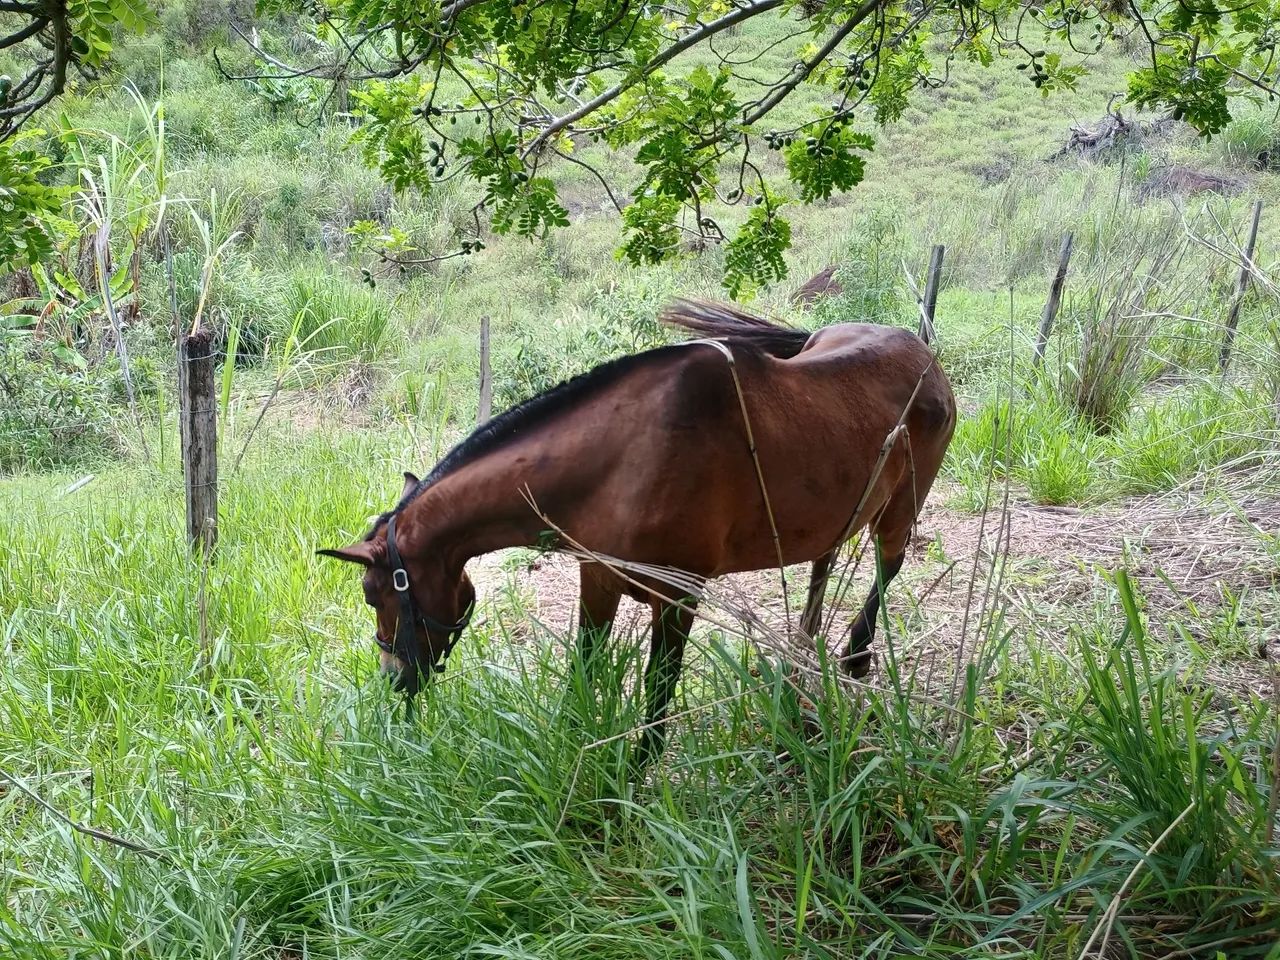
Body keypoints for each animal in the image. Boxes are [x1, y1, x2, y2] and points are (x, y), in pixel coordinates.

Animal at [320, 299, 956, 768]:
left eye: (374, 595)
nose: (394, 681)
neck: (624, 459)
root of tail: (922, 350)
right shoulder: (597, 580)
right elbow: (584, 667)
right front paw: (574, 744)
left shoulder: (677, 596)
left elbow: (658, 687)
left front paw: (637, 769)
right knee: (824, 565)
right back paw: (802, 648)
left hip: (899, 514)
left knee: (886, 568)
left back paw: (855, 656)